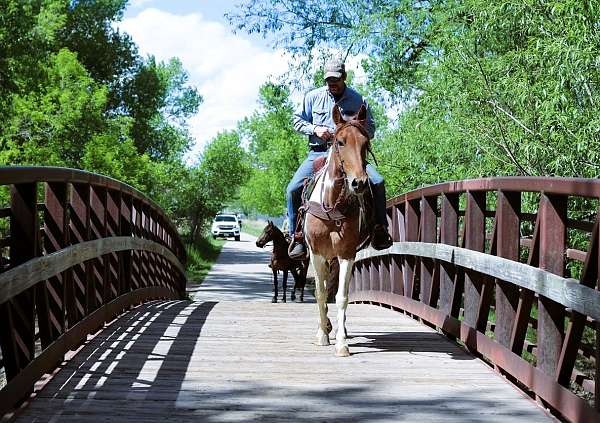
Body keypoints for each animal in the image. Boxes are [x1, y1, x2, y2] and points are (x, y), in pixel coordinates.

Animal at [304, 103, 376, 358]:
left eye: (365, 143)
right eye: (340, 142)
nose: (359, 183)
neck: (332, 205)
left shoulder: (346, 254)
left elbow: (341, 296)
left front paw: (342, 342)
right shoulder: (316, 254)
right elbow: (320, 293)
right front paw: (322, 335)